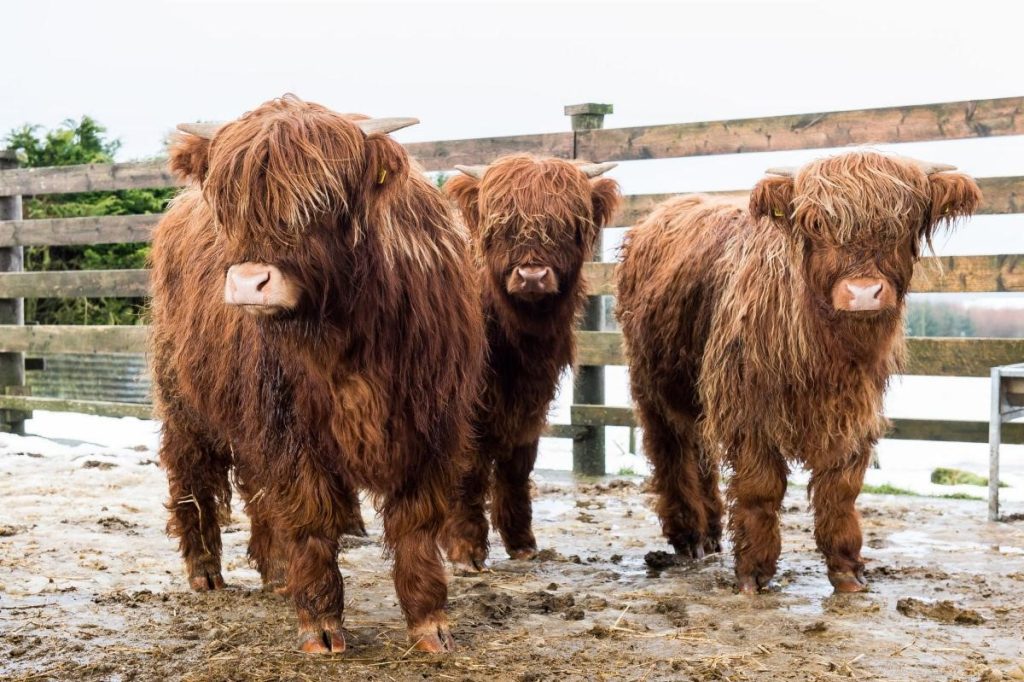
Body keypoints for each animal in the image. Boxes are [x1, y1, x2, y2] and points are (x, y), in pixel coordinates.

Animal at [149, 95, 485, 654]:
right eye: (230, 203)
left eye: (320, 199)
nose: (248, 282)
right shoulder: (289, 428)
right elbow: (309, 515)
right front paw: (322, 626)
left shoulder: (431, 423)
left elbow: (417, 524)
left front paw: (430, 623)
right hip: (184, 400)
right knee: (193, 476)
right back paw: (206, 572)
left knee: (257, 491)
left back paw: (277, 573)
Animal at [441, 154, 621, 571]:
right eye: (503, 225)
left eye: (564, 224)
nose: (532, 276)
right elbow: (469, 468)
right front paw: (465, 550)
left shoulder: (531, 398)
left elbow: (518, 464)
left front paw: (521, 541)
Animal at [615, 151, 980, 593]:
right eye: (818, 223)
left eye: (903, 222)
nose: (863, 293)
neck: (825, 352)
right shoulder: (748, 410)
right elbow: (760, 489)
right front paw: (753, 572)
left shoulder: (854, 410)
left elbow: (841, 491)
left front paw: (847, 569)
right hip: (651, 383)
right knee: (670, 451)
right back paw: (689, 538)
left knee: (701, 451)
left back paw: (712, 534)